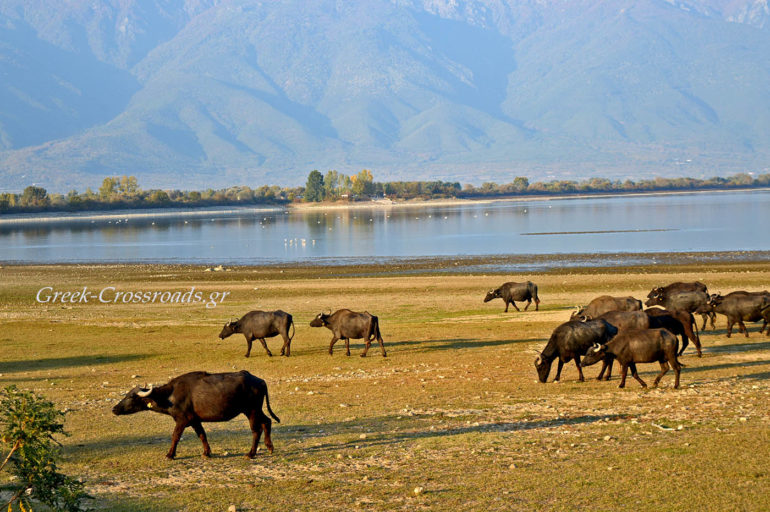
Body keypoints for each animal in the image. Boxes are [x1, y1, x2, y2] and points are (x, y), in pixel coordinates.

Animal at [112, 370, 280, 458]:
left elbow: (175, 436)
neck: (170, 395)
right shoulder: (195, 421)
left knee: (256, 430)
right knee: (267, 421)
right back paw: (270, 447)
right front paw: (206, 452)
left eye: (131, 397)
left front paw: (170, 454)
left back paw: (251, 453)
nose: (114, 409)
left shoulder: (182, 420)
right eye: (126, 395)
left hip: (251, 411)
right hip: (255, 410)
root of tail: (260, 381)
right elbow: (202, 435)